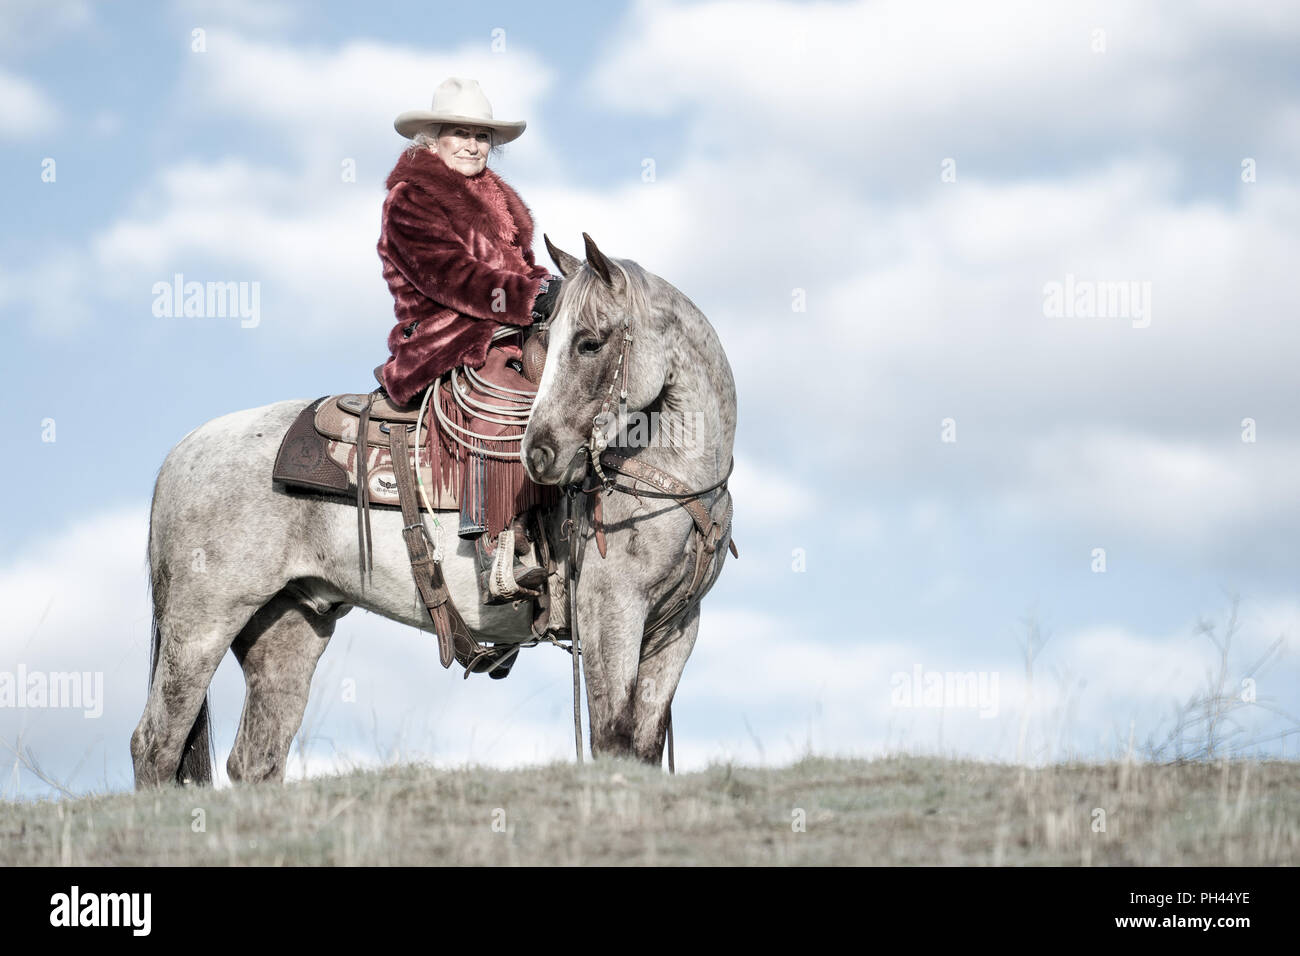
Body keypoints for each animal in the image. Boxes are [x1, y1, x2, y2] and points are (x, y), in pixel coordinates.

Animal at [131, 235, 743, 790]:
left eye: (590, 343)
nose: (540, 453)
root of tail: (180, 454)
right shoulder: (609, 613)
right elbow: (613, 738)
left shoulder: (676, 628)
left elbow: (643, 743)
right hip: (200, 623)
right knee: (156, 745)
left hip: (288, 629)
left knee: (255, 760)